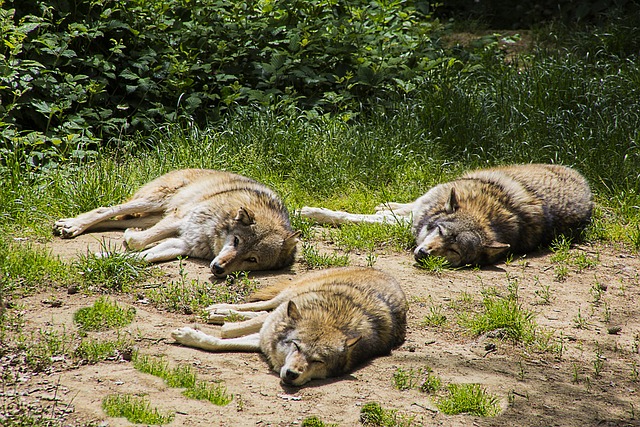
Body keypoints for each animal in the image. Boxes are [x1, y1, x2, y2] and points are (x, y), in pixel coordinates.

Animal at [51, 170, 298, 278]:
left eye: (252, 259)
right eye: (236, 241)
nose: (218, 269)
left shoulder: (183, 245)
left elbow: (142, 255)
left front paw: (104, 257)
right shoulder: (180, 219)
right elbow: (138, 241)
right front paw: (126, 241)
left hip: (154, 214)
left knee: (115, 221)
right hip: (155, 202)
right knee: (108, 210)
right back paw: (72, 225)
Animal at [172, 268, 408, 388]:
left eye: (318, 361)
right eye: (296, 347)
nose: (292, 374)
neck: (332, 319)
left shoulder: (263, 339)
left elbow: (221, 342)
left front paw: (192, 335)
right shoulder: (269, 330)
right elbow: (228, 333)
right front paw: (192, 333)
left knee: (261, 311)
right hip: (288, 294)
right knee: (261, 306)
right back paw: (219, 310)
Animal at [302, 164, 592, 268]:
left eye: (454, 251)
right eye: (440, 232)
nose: (423, 254)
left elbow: (354, 217)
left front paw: (310, 212)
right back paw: (387, 204)